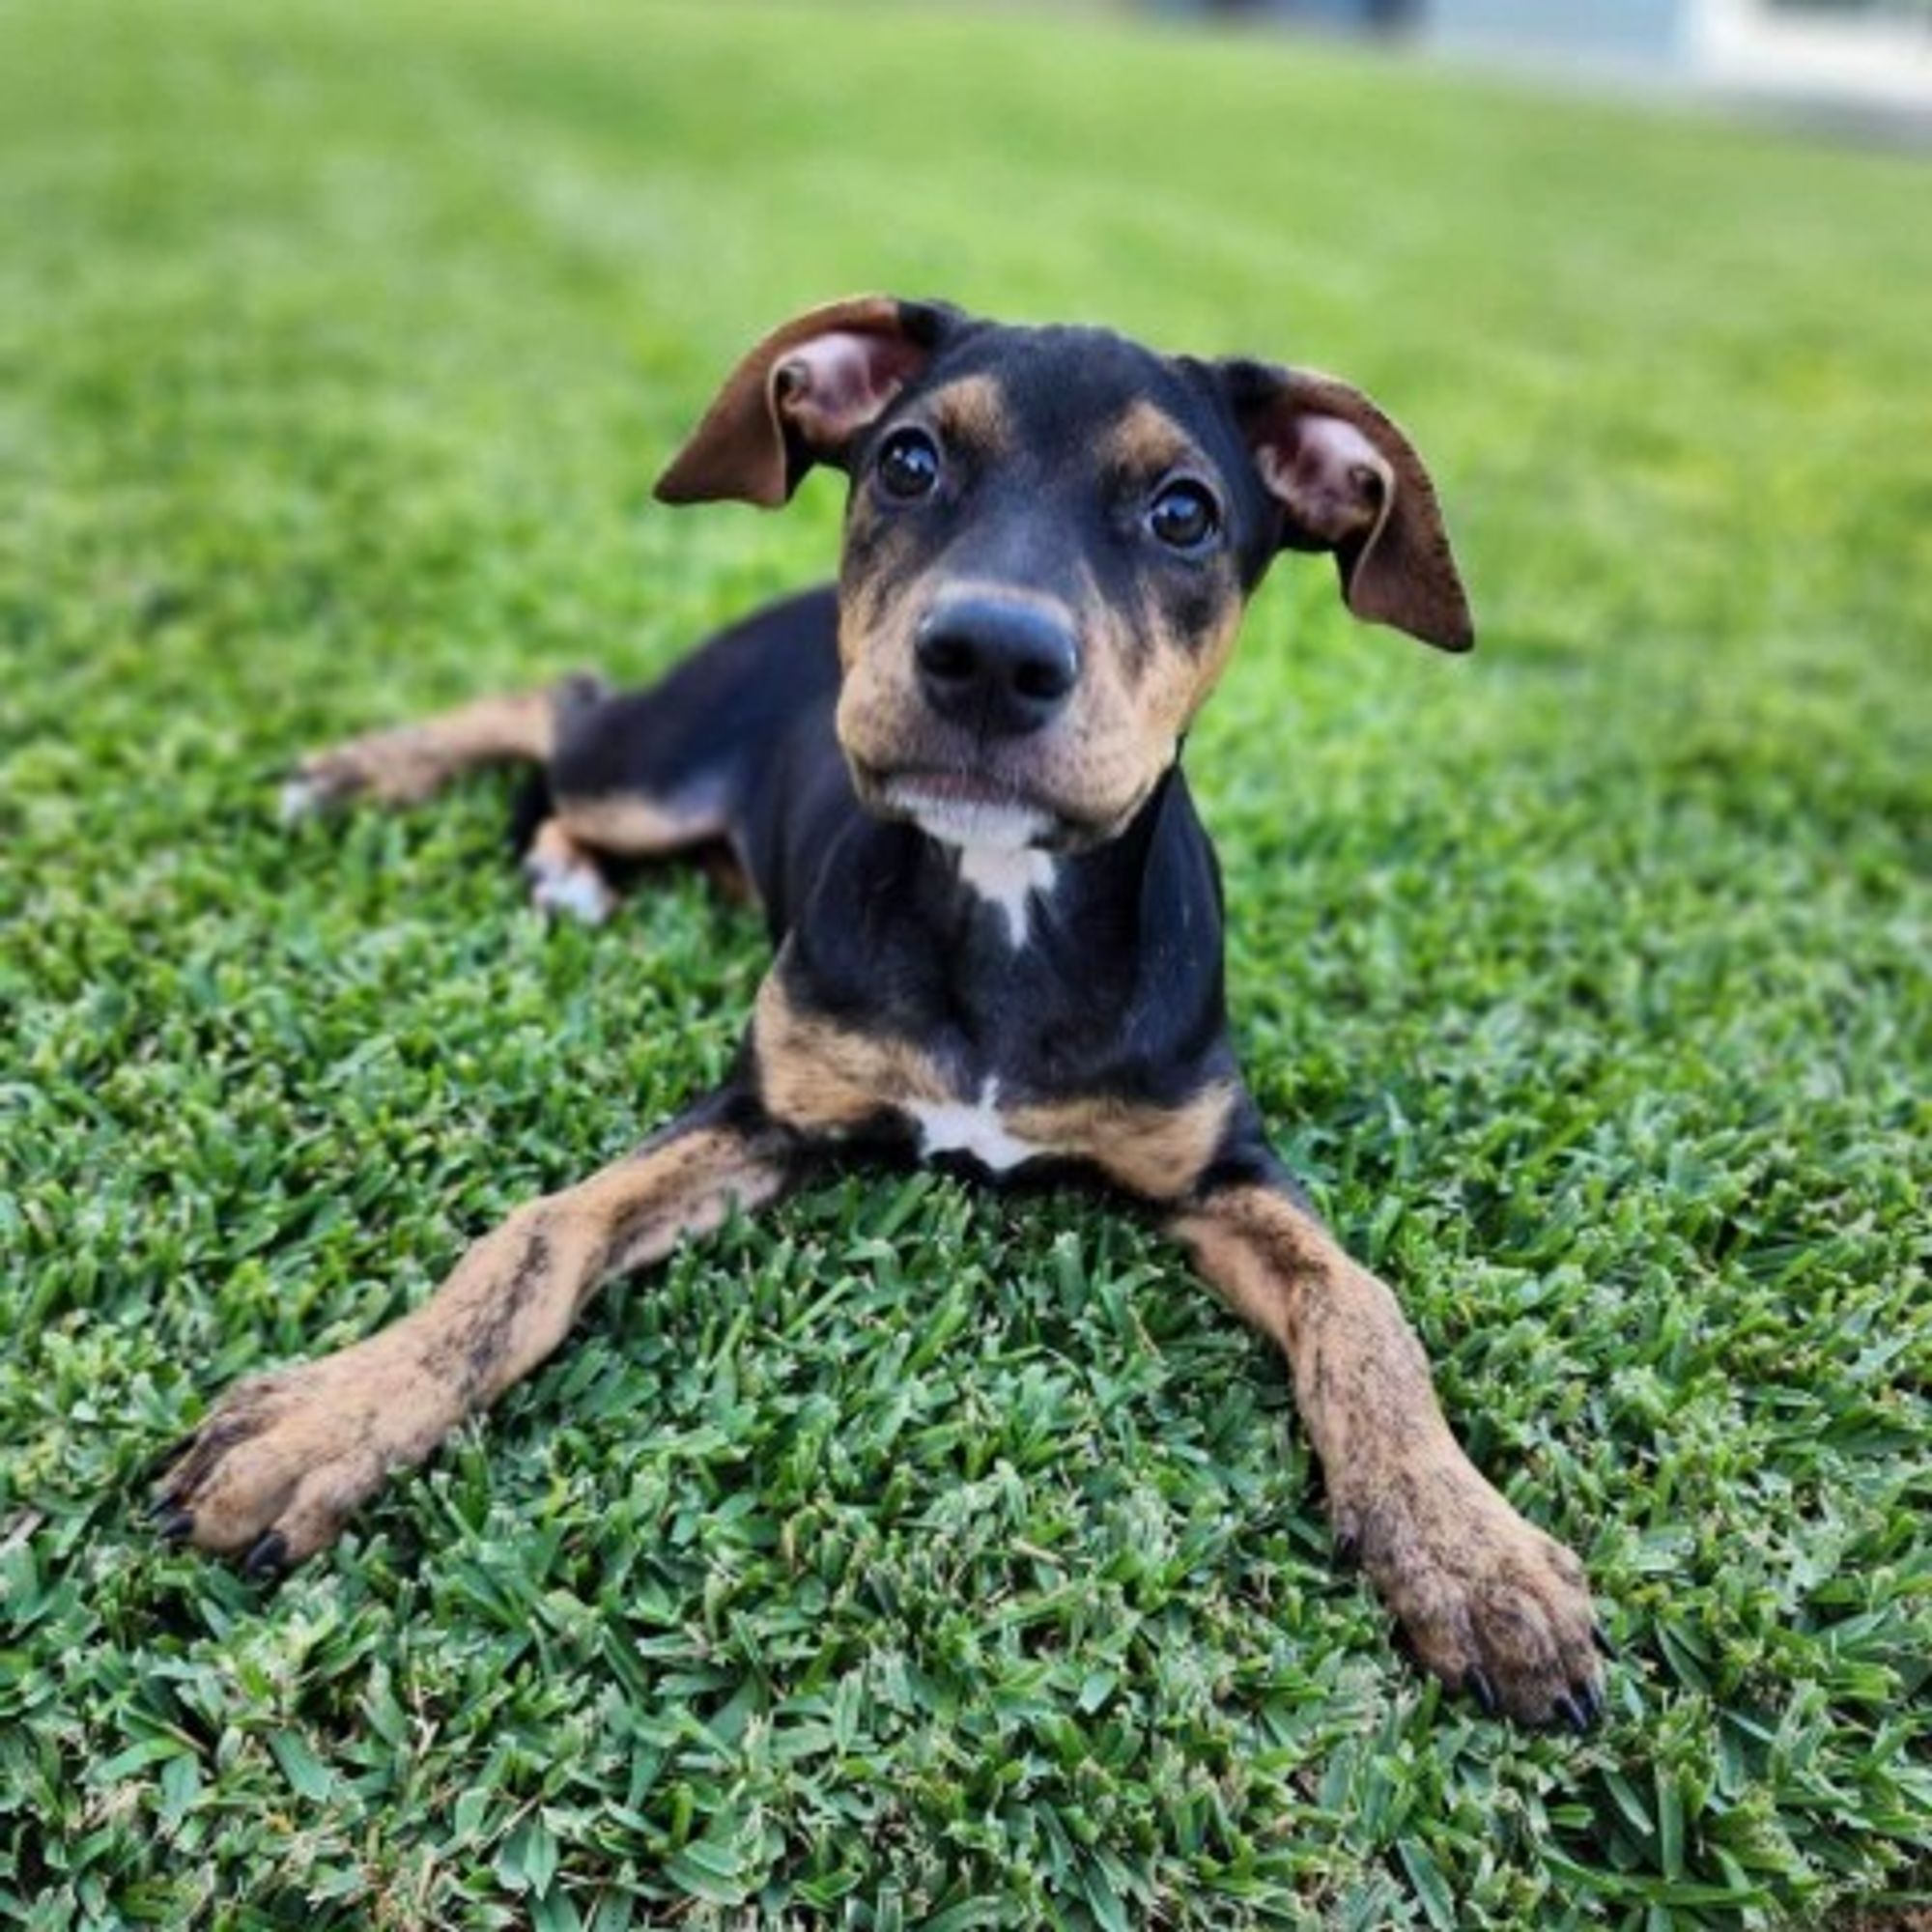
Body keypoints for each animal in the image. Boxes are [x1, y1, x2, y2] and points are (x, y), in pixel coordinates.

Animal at [151, 298, 1607, 1723]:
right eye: (909, 460)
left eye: (1184, 512)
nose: (990, 656)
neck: (1003, 902)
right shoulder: (767, 1109)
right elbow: (537, 1239)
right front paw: (327, 1420)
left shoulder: (1219, 1162)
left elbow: (1363, 1307)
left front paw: (1470, 1555)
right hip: (653, 769)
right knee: (562, 706)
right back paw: (369, 778)